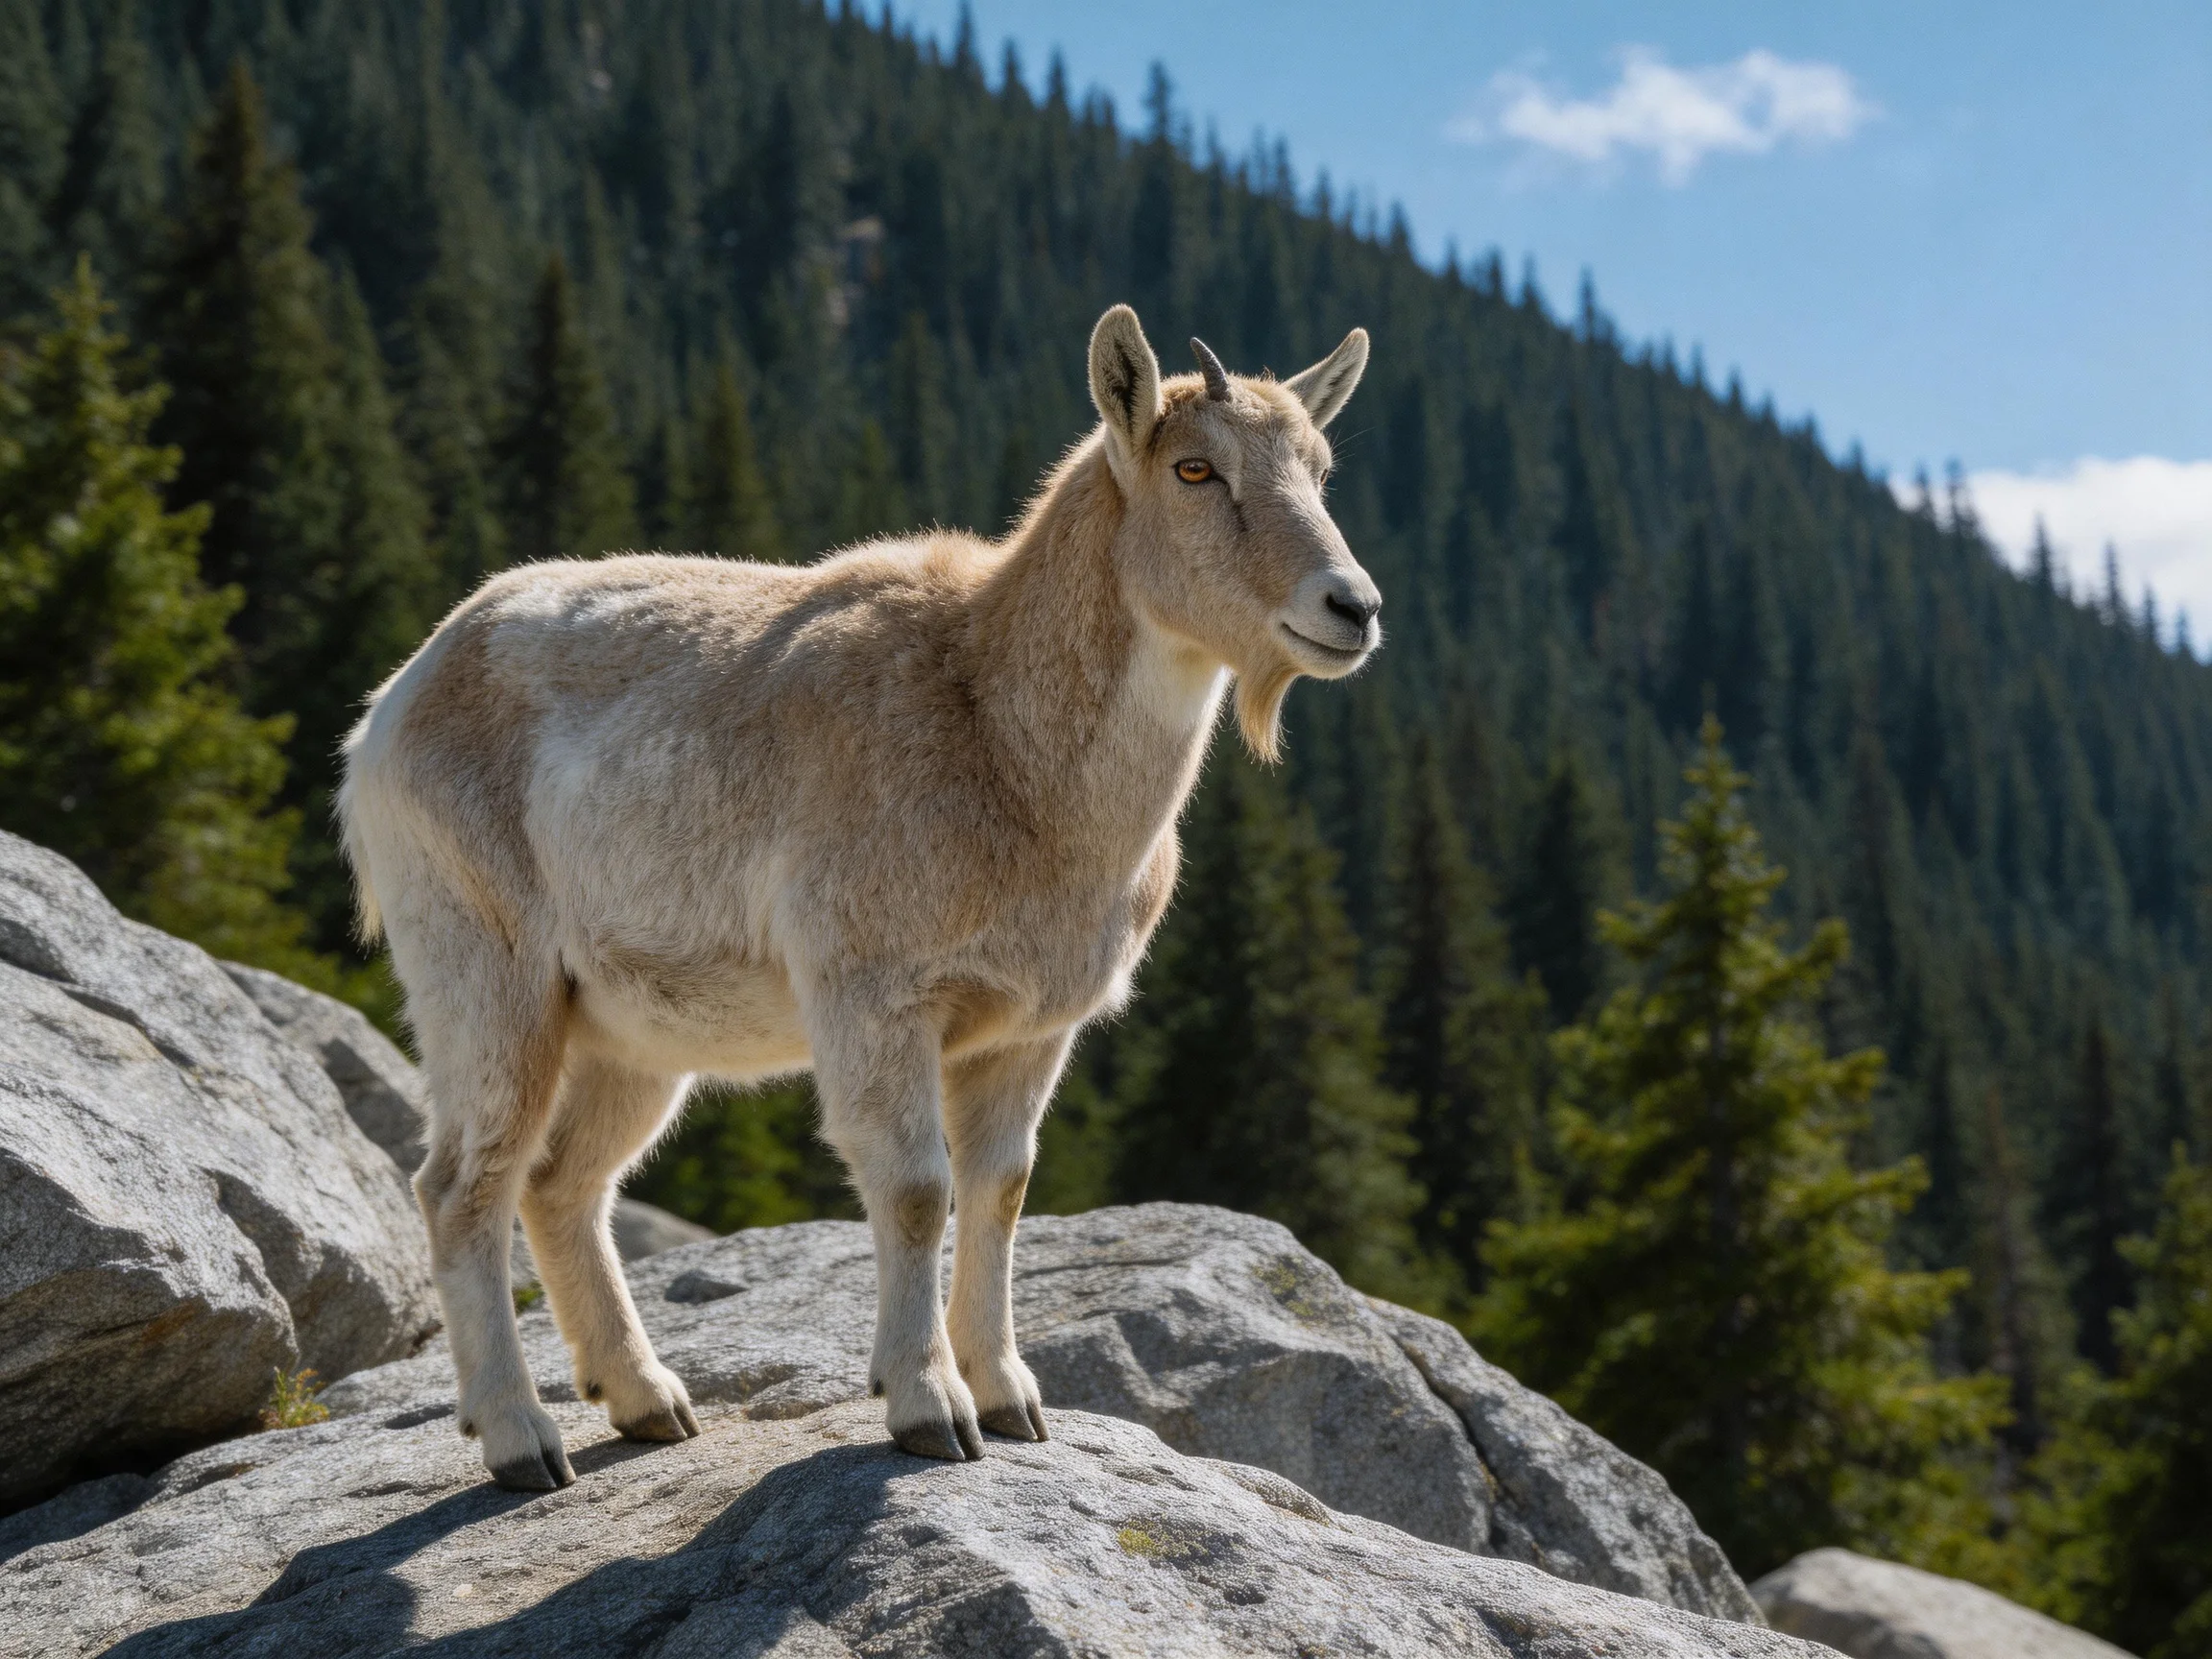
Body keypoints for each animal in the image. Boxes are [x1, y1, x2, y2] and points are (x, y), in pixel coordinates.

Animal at [339, 305, 1378, 1488]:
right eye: (1196, 467)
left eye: (1321, 468)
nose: (1351, 608)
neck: (1007, 748)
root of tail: (383, 720)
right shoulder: (874, 996)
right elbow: (918, 1188)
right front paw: (929, 1411)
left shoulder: (1026, 1033)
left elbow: (1002, 1187)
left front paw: (1012, 1398)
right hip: (487, 977)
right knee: (464, 1183)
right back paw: (523, 1441)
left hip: (626, 1035)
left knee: (564, 1184)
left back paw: (650, 1404)